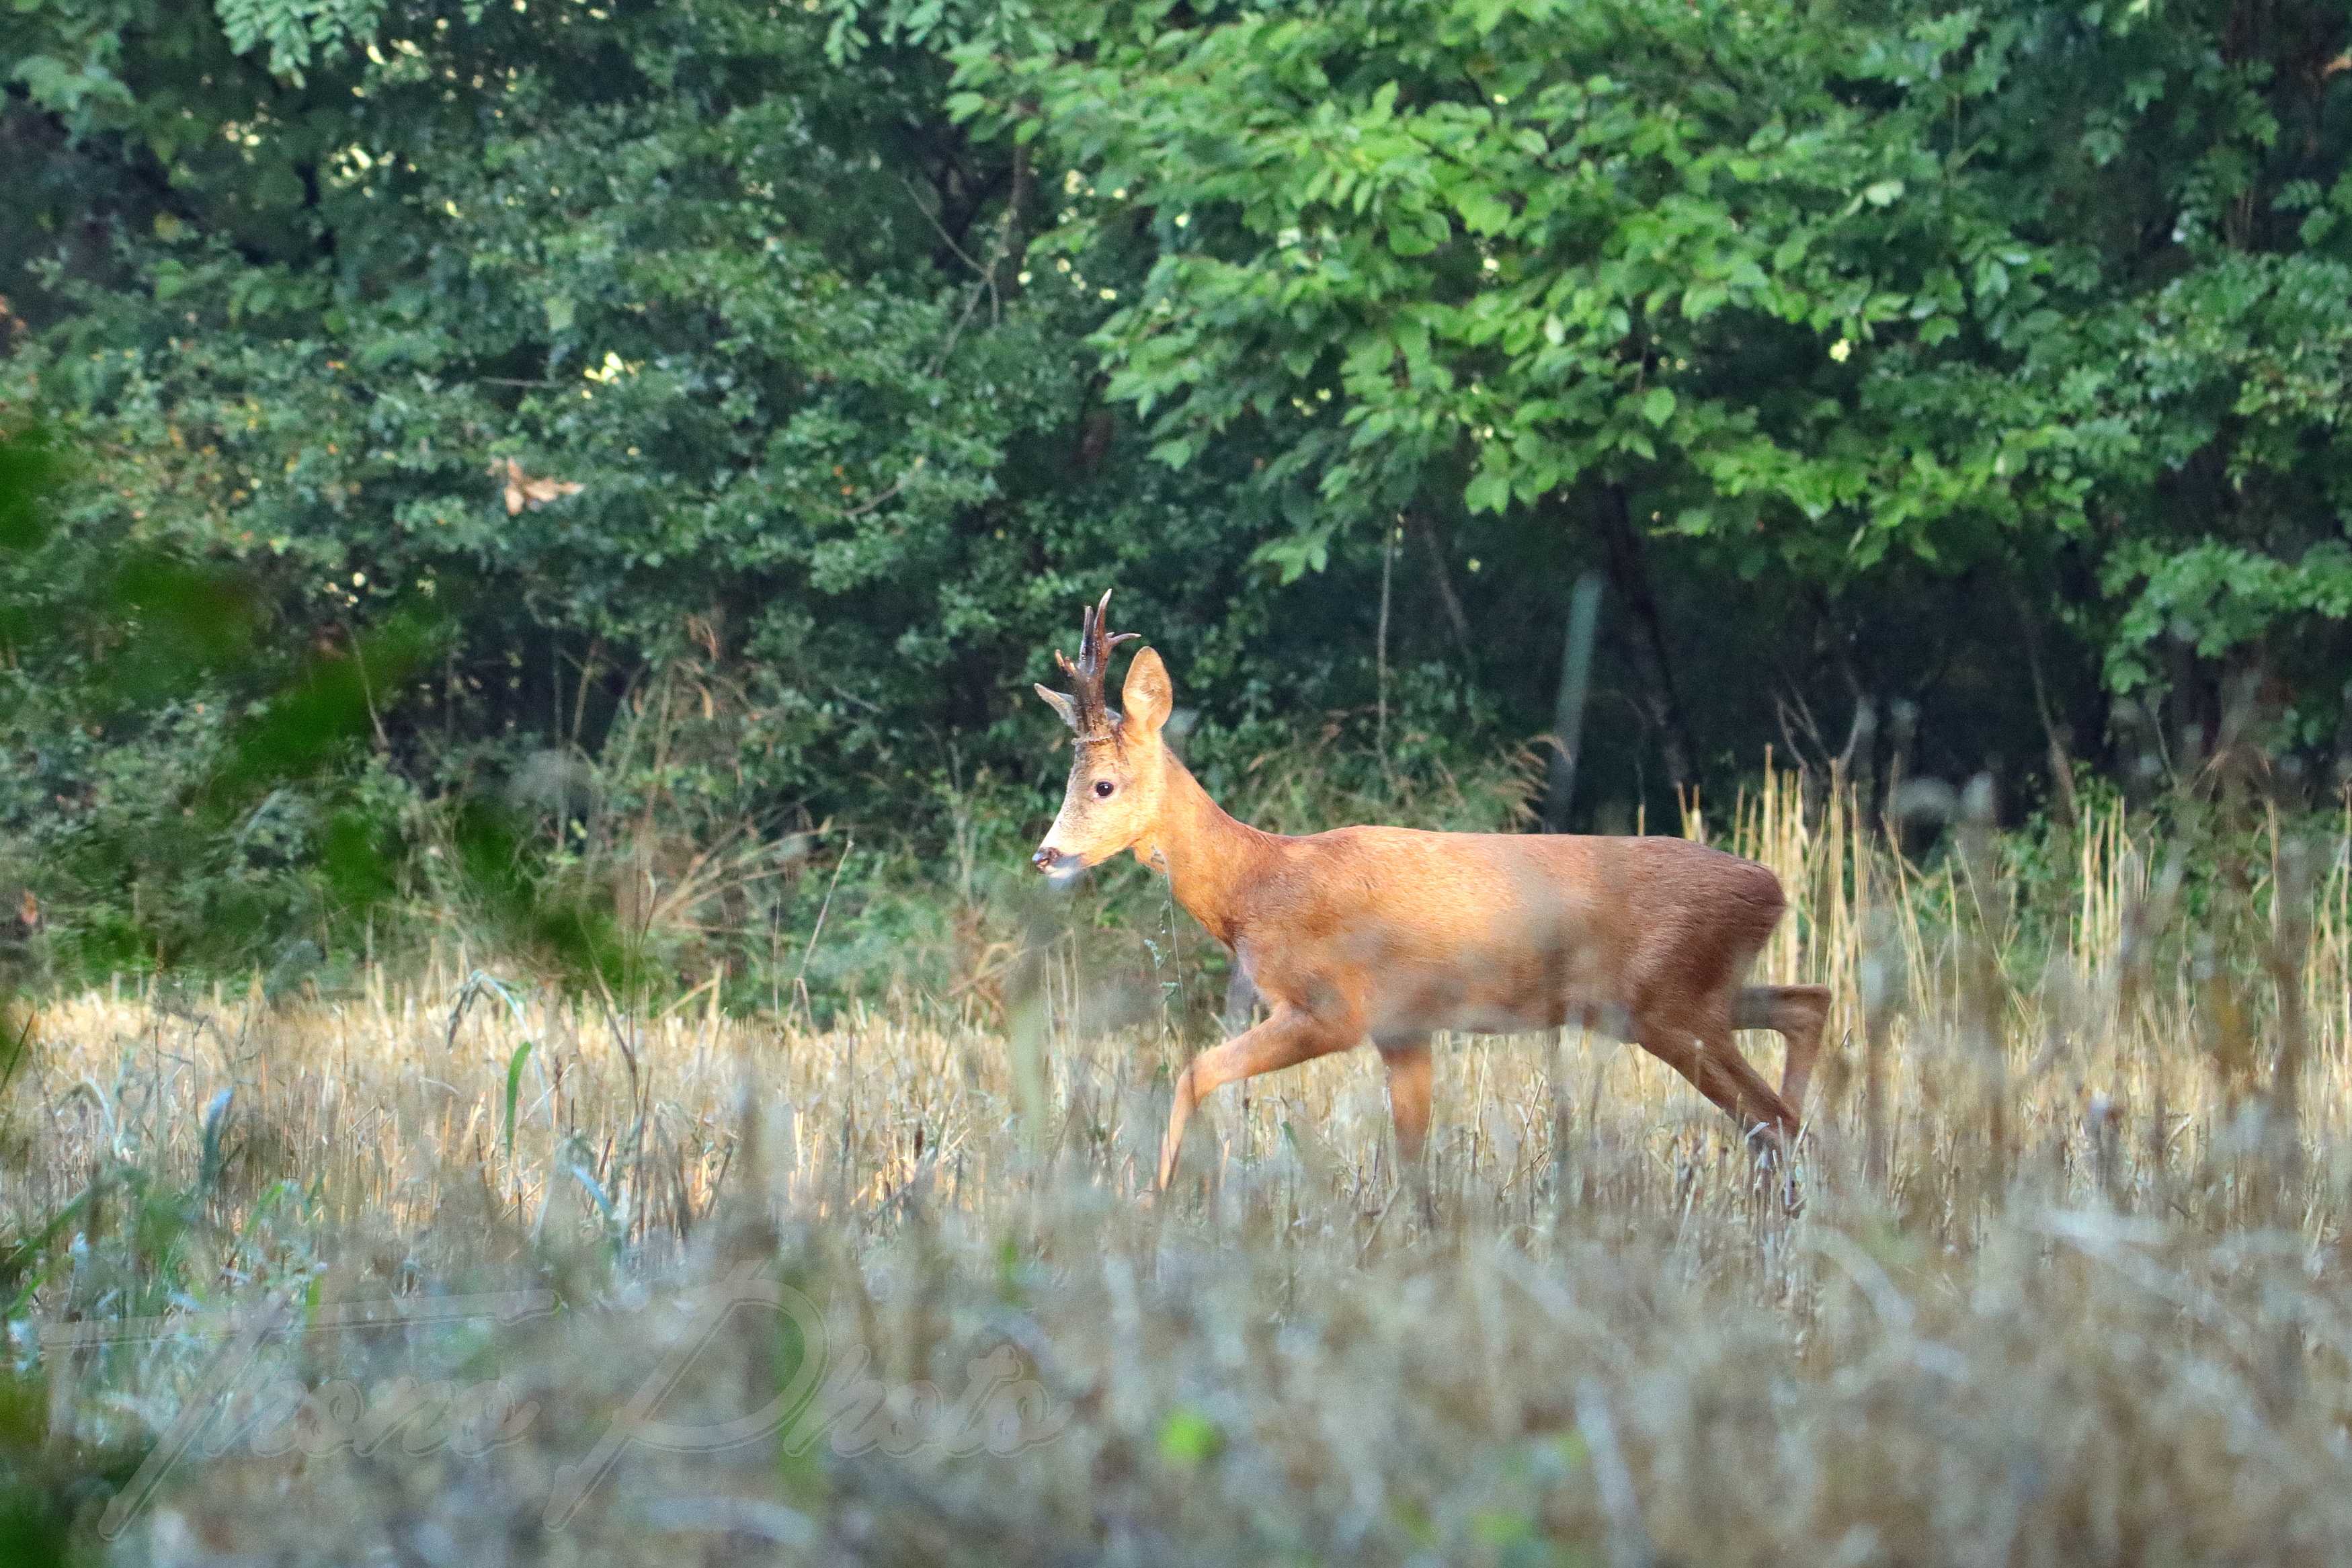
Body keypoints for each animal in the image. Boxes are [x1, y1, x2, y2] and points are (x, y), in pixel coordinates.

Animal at [1035, 594, 1834, 1194]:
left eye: (1102, 784)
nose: (1046, 854)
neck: (1257, 883)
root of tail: (1771, 886)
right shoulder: (1403, 1028)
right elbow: (1413, 1163)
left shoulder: (1332, 1007)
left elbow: (1193, 1070)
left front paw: (1158, 1201)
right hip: (1683, 997)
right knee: (1805, 1012)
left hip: (1669, 1006)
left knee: (1780, 1123)